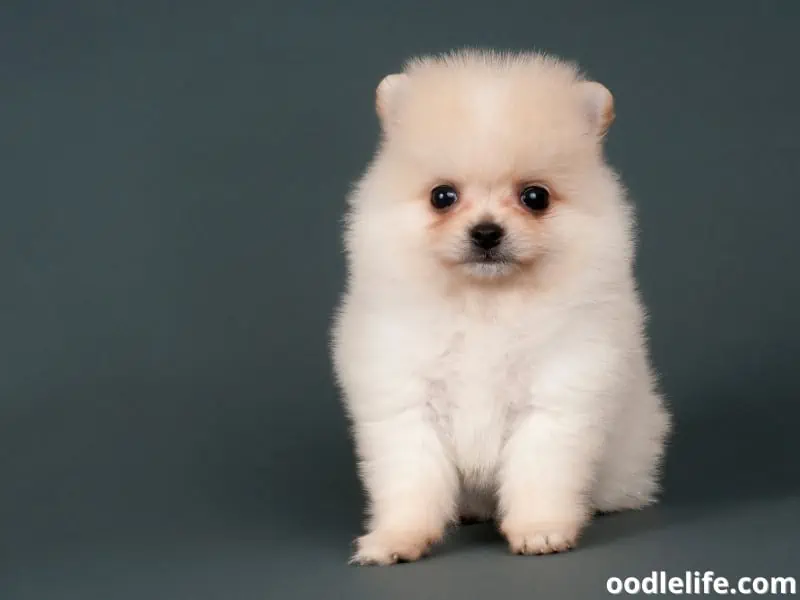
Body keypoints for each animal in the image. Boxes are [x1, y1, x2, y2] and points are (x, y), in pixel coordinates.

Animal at [328, 49, 672, 564]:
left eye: (535, 197)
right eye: (442, 196)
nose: (486, 232)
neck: (485, 304)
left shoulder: (555, 392)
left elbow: (539, 469)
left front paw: (540, 529)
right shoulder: (408, 397)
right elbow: (411, 479)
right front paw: (397, 537)